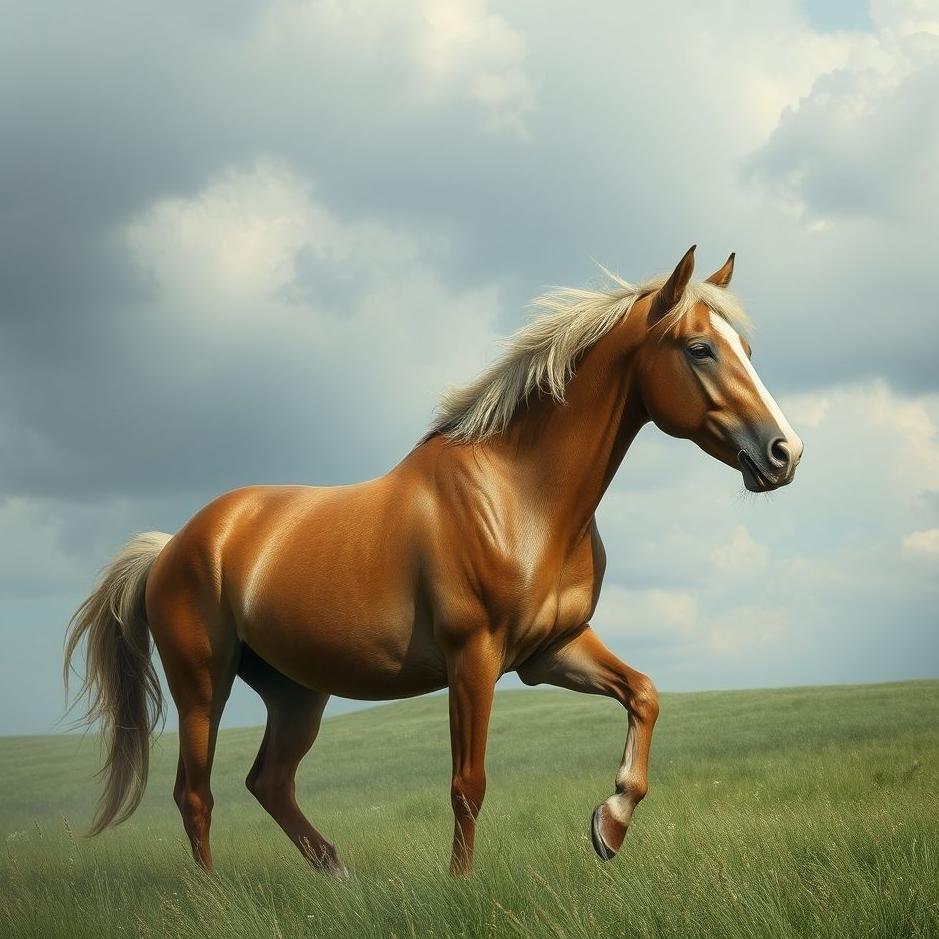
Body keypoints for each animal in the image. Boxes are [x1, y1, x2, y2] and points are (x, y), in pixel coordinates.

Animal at [65, 246, 803, 876]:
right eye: (699, 348)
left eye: (745, 348)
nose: (783, 452)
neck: (518, 498)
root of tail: (173, 545)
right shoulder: (471, 658)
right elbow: (467, 783)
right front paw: (462, 883)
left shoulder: (550, 650)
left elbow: (643, 693)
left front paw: (609, 824)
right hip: (202, 684)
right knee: (195, 794)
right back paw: (218, 897)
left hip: (295, 691)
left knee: (268, 781)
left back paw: (337, 875)